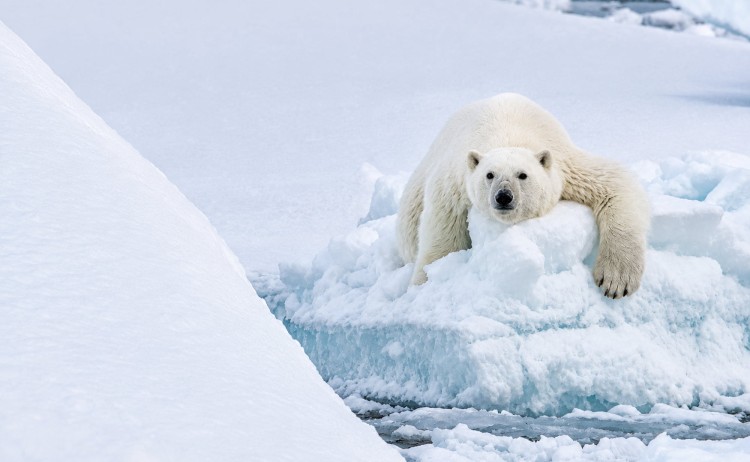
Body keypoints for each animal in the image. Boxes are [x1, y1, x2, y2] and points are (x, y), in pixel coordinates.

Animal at [397, 93, 649, 299]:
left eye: (522, 175)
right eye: (490, 174)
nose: (503, 197)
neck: (507, 134)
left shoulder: (567, 166)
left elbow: (612, 184)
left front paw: (615, 281)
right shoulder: (456, 185)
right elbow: (444, 234)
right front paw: (425, 284)